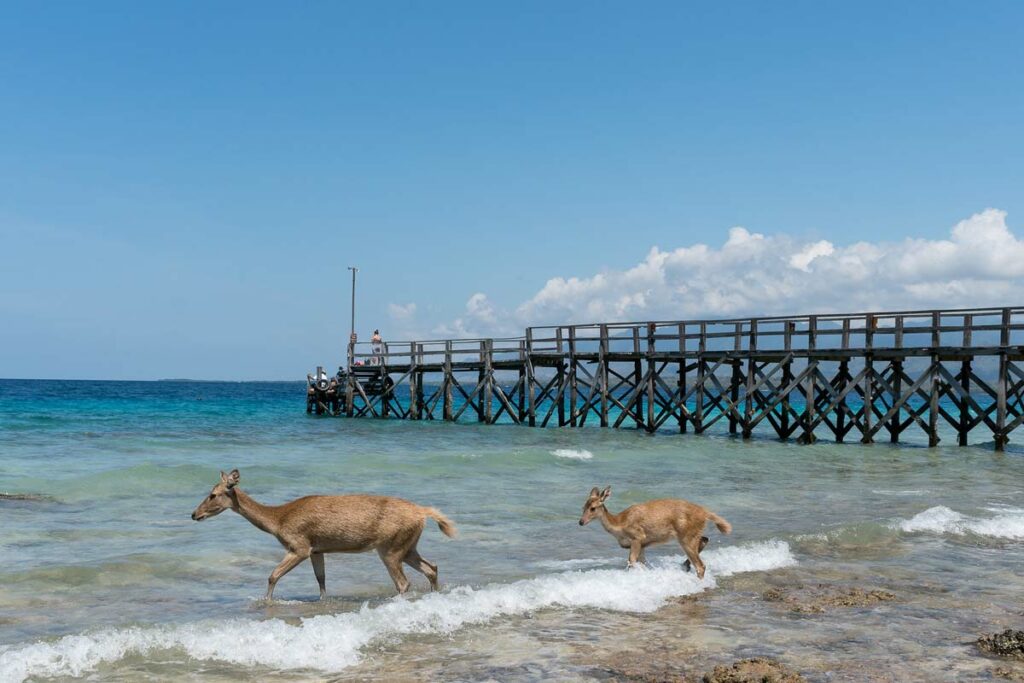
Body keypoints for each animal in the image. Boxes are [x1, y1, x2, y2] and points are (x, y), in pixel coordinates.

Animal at [190, 469, 456, 600]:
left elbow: (273, 575)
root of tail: (423, 512)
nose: (194, 514)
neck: (278, 521)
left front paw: (266, 602)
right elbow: (321, 580)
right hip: (407, 545)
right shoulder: (317, 549)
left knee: (403, 582)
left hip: (390, 547)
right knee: (431, 567)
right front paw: (322, 602)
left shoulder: (299, 545)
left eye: (213, 494)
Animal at [578, 486, 731, 579]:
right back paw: (685, 566)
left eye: (593, 508)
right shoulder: (643, 544)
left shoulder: (638, 536)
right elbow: (642, 562)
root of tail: (705, 512)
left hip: (686, 536)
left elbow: (631, 561)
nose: (581, 522)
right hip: (691, 534)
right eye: (583, 507)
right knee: (704, 539)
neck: (620, 524)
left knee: (701, 565)